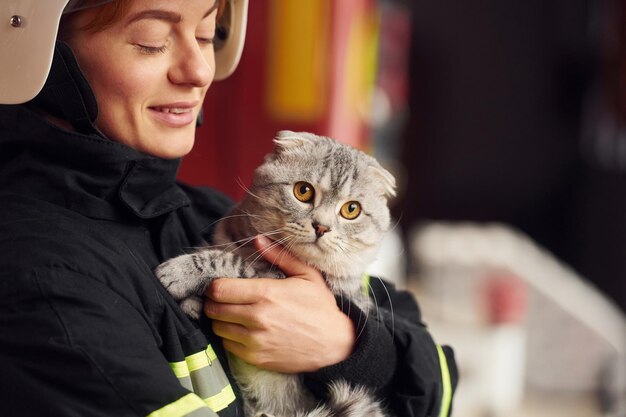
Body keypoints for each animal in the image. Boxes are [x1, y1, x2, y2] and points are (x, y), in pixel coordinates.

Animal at [154, 130, 394, 416]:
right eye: (303, 191)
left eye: (351, 209)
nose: (321, 227)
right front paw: (193, 301)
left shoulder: (271, 279)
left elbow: (229, 261)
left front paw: (179, 273)